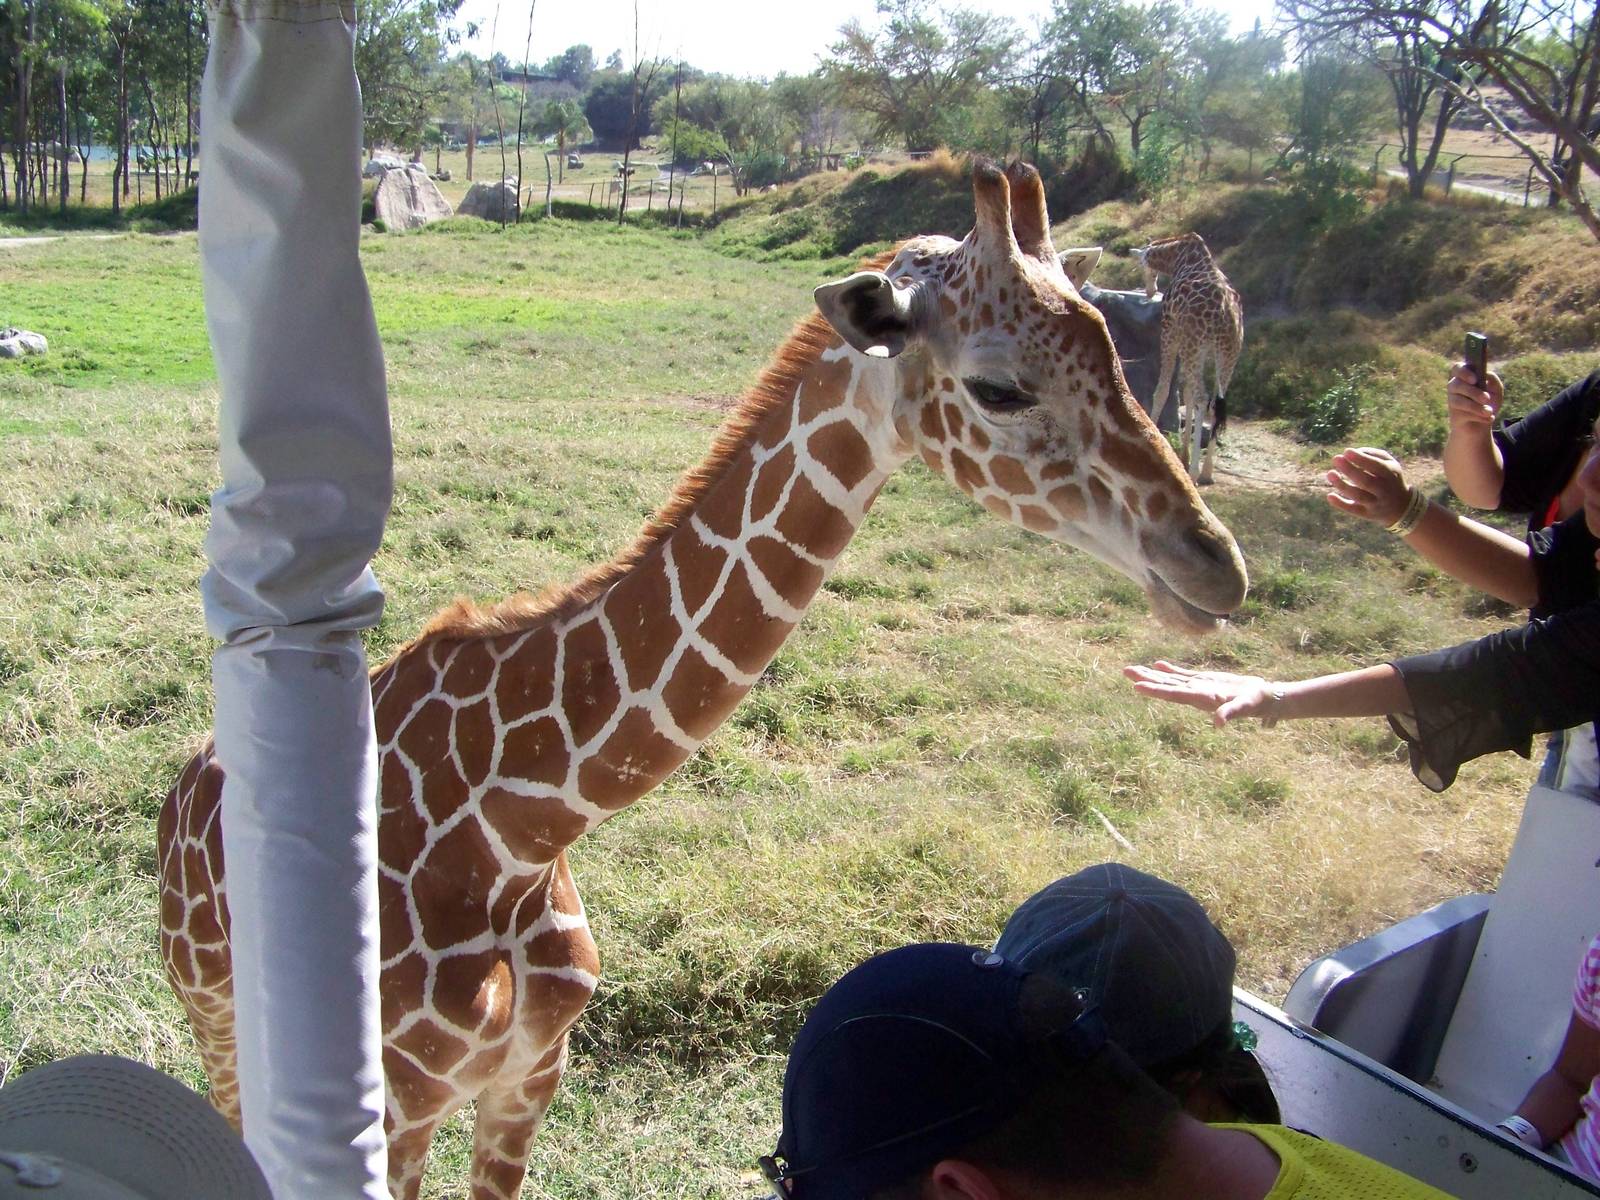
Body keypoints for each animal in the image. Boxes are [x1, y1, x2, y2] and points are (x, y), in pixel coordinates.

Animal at [1135, 232, 1244, 486]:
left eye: (1143, 265)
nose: (1149, 290)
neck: (1177, 256)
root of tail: (1225, 315)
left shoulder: (1170, 332)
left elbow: (1163, 390)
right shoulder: (1194, 347)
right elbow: (1186, 393)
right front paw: (1182, 456)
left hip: (1195, 345)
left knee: (1203, 397)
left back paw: (1194, 472)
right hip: (1228, 354)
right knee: (1215, 402)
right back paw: (1206, 472)